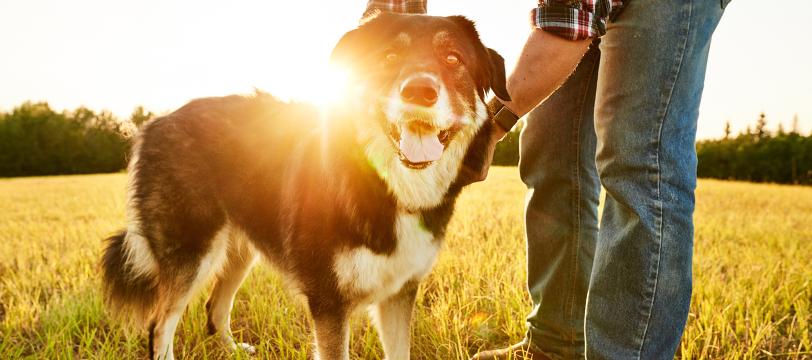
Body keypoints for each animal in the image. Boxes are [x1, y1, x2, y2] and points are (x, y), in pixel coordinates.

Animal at [101, 13, 508, 360]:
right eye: (390, 56)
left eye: (453, 58)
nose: (419, 91)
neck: (385, 185)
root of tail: (154, 123)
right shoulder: (328, 303)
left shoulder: (400, 293)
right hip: (192, 251)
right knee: (159, 325)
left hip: (239, 250)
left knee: (215, 308)